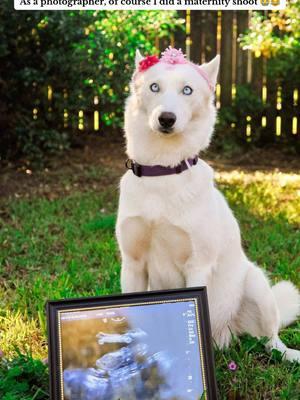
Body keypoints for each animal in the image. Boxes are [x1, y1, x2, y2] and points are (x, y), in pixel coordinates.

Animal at [115, 47, 300, 362]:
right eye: (154, 87)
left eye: (187, 90)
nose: (166, 118)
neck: (163, 171)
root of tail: (227, 336)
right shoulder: (133, 265)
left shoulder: (197, 266)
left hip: (256, 285)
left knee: (271, 339)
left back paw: (288, 354)